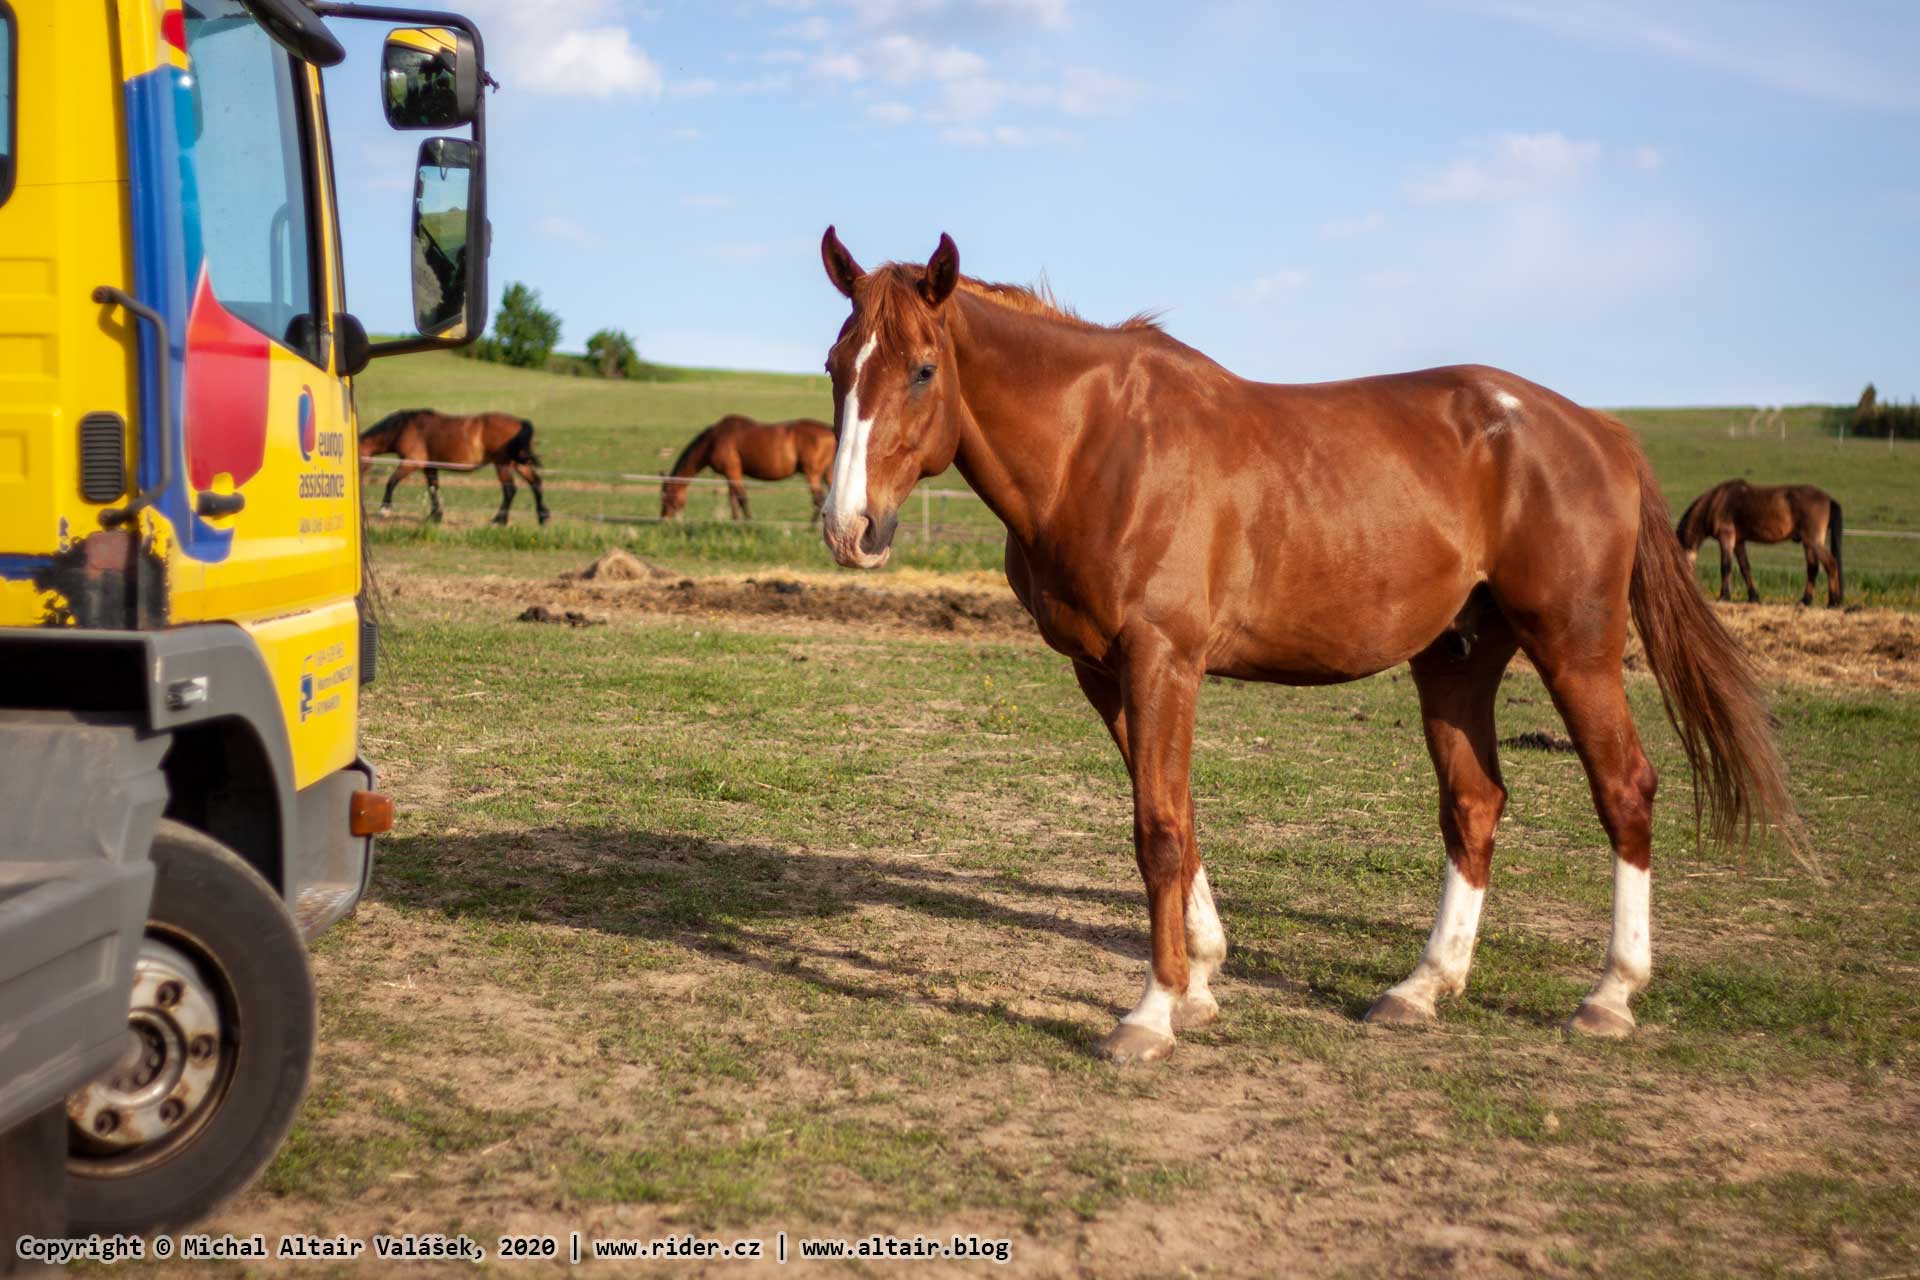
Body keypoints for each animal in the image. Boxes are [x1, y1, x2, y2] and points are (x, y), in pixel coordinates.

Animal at [359, 412, 549, 529]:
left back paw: (499, 520)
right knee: (536, 483)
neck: (404, 428)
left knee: (510, 489)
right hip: (520, 463)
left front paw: (385, 509)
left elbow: (391, 481)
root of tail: (520, 422)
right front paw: (435, 516)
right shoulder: (429, 466)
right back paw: (543, 517)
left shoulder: (413, 462)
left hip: (502, 464)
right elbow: (433, 489)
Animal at [660, 418, 833, 521]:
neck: (713, 440)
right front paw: (735, 521)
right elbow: (733, 500)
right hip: (828, 474)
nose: (663, 519)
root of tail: (829, 431)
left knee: (819, 499)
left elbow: (742, 498)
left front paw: (749, 521)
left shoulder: (733, 471)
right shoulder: (730, 475)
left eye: (665, 497)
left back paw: (811, 527)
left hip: (812, 474)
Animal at [814, 227, 1797, 1059]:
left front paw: (1152, 1012)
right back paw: (1423, 986)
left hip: (1575, 648)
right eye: (834, 366)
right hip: (1458, 656)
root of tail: (1599, 431)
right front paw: (1201, 980)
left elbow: (1157, 829)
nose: (849, 526)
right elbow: (1176, 814)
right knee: (1474, 804)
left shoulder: (1161, 659)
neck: (1096, 445)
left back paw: (1611, 995)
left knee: (1624, 789)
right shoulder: (1105, 672)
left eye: (924, 369)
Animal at [1674, 477, 1835, 610]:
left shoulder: (1726, 537)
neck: (1715, 502)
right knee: (1813, 568)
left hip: (1813, 542)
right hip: (1809, 544)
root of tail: (1828, 499)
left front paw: (1724, 596)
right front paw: (1753, 597)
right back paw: (1808, 601)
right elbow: (1745, 568)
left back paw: (1833, 602)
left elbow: (1726, 566)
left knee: (1830, 564)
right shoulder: (1738, 542)